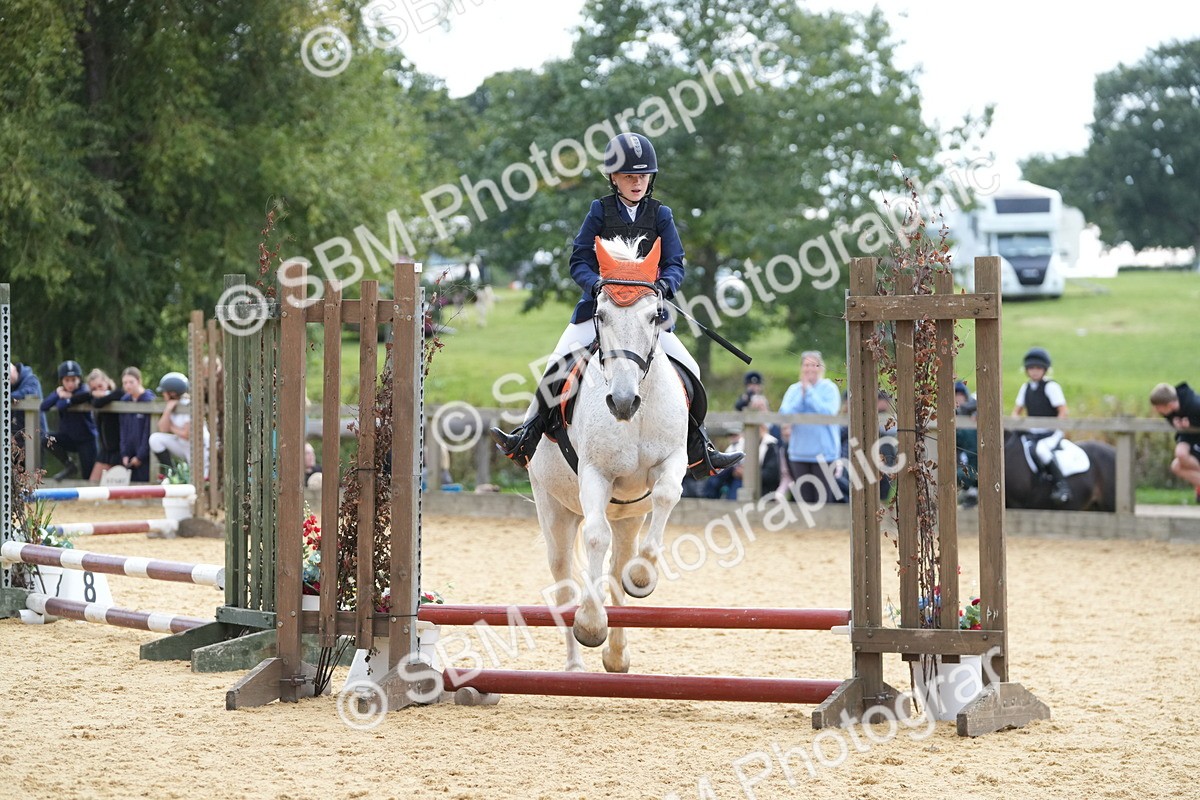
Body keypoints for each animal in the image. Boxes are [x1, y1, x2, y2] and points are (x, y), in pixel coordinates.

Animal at [526, 236, 690, 674]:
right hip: (554, 510)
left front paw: (644, 577)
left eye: (655, 316)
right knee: (564, 581)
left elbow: (666, 495)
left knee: (616, 572)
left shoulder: (673, 461)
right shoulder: (595, 475)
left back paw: (616, 655)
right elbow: (595, 538)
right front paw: (590, 623)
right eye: (600, 314)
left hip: (628, 517)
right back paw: (575, 666)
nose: (621, 402)